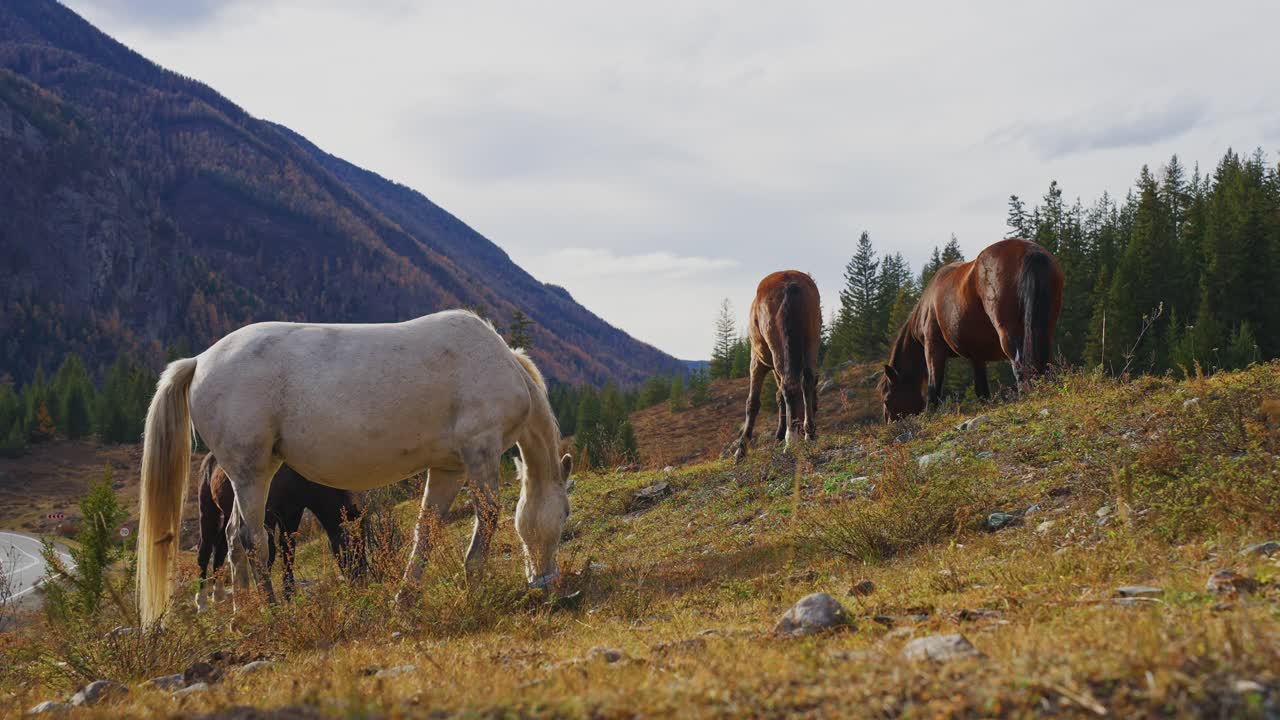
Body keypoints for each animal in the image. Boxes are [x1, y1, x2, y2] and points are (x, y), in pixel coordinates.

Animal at [194, 453, 364, 612]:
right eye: (350, 544)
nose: (361, 580)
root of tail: (209, 458)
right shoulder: (267, 515)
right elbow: (269, 553)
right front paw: (266, 600)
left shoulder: (292, 514)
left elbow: (288, 551)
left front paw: (289, 595)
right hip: (208, 511)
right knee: (205, 550)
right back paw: (202, 603)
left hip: (228, 512)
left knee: (222, 547)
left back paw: (219, 595)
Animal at [733, 271, 822, 461]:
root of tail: (790, 285)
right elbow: (780, 396)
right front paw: (780, 435)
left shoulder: (757, 361)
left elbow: (753, 402)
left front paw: (741, 448)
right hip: (812, 341)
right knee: (806, 381)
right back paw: (808, 433)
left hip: (777, 349)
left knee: (789, 386)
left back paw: (791, 440)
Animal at [878, 238, 1063, 421]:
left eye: (887, 399)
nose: (891, 424)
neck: (927, 306)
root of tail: (1029, 250)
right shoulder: (977, 355)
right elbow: (981, 389)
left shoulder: (933, 347)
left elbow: (934, 384)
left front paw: (930, 414)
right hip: (1044, 329)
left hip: (1009, 334)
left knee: (1019, 365)